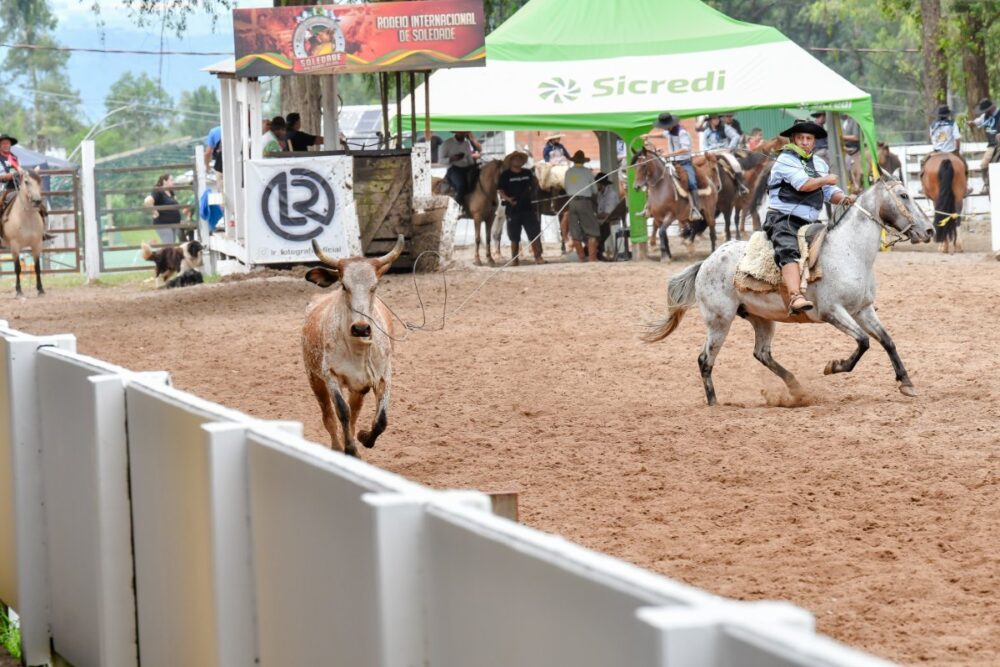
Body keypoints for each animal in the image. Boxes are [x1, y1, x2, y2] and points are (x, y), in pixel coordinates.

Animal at [0, 168, 47, 297]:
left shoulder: (37, 244)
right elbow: (18, 268)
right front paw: (19, 291)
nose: (37, 201)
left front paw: (40, 289)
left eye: (40, 181)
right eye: (26, 182)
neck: (27, 217)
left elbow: (37, 267)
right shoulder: (15, 246)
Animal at [302, 235, 404, 456]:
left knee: (354, 414)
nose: (361, 328)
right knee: (329, 417)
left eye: (374, 286)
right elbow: (342, 412)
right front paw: (350, 449)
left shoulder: (383, 375)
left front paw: (364, 438)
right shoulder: (329, 374)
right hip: (314, 379)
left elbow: (381, 419)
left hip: (358, 389)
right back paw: (336, 446)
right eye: (344, 285)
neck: (358, 349)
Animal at [642, 173, 934, 405]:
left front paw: (906, 383)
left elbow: (887, 340)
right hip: (719, 321)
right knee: (705, 359)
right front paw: (833, 366)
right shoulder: (832, 312)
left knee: (761, 354)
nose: (929, 230)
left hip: (760, 319)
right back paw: (714, 403)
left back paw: (796, 388)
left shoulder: (863, 309)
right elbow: (863, 341)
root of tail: (705, 263)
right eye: (904, 195)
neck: (848, 251)